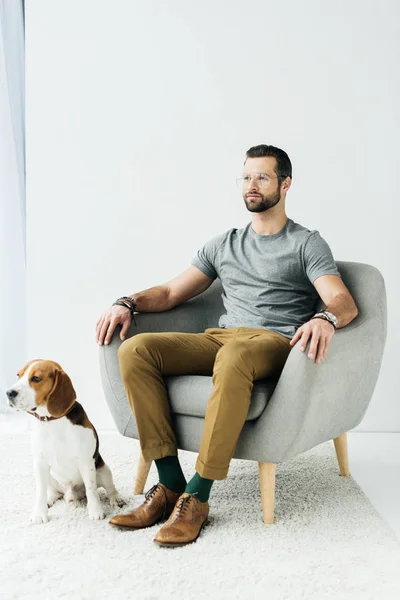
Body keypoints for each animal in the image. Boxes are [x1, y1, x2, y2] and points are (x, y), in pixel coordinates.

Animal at [5, 358, 125, 524]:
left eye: (36, 378)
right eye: (18, 375)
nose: (8, 393)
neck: (52, 420)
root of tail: (70, 493)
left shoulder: (85, 461)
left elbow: (91, 489)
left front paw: (95, 511)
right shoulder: (40, 463)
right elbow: (40, 492)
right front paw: (39, 513)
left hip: (103, 470)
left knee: (109, 487)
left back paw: (116, 499)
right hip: (49, 476)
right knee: (53, 492)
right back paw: (49, 500)